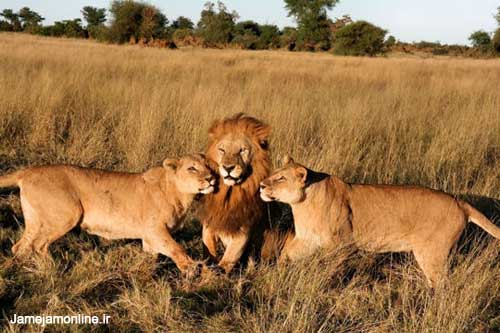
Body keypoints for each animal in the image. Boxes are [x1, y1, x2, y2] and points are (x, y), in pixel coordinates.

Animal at [0, 153, 215, 274]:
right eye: (192, 168)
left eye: (210, 167)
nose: (211, 178)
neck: (182, 195)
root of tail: (27, 171)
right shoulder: (155, 230)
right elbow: (176, 248)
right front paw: (192, 269)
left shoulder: (149, 238)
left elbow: (153, 256)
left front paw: (145, 274)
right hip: (67, 215)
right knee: (39, 245)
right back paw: (54, 269)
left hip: (35, 220)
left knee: (20, 246)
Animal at [198, 113, 272, 272]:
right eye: (222, 150)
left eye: (242, 150)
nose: (228, 168)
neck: (229, 194)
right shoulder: (209, 227)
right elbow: (209, 253)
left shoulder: (242, 235)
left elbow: (226, 261)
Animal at [262, 154, 500, 286]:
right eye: (274, 173)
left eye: (281, 178)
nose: (262, 185)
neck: (302, 204)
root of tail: (460, 202)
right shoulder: (307, 240)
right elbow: (286, 254)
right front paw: (277, 272)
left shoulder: (343, 245)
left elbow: (332, 268)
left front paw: (325, 284)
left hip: (432, 253)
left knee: (443, 284)